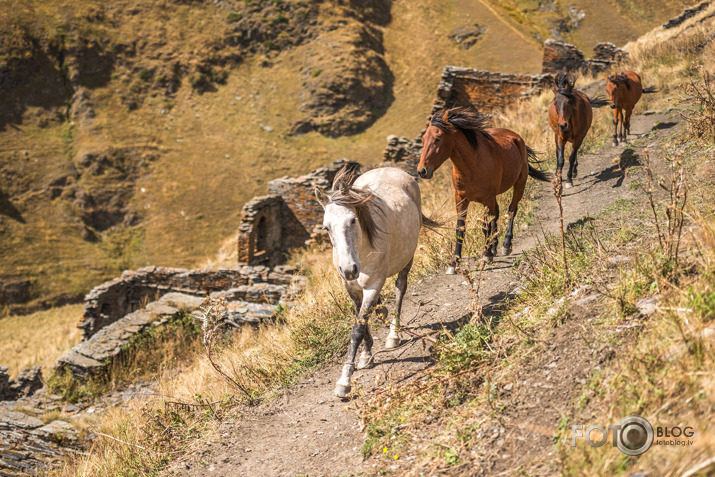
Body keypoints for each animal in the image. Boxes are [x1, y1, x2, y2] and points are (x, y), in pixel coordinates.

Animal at [314, 165, 434, 396]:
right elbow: (360, 318)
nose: (349, 269)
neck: (362, 251)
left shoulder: (373, 286)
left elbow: (357, 329)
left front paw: (345, 380)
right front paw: (365, 355)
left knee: (400, 289)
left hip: (408, 258)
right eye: (326, 227)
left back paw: (394, 335)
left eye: (353, 220)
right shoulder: (351, 287)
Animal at [414, 106, 548, 274]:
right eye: (423, 139)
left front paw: (486, 255)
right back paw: (495, 246)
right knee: (496, 214)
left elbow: (486, 227)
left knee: (511, 210)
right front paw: (454, 263)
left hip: (519, 185)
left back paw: (505, 244)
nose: (422, 171)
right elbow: (461, 229)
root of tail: (517, 138)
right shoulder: (461, 199)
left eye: (438, 138)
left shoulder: (486, 199)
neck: (471, 165)